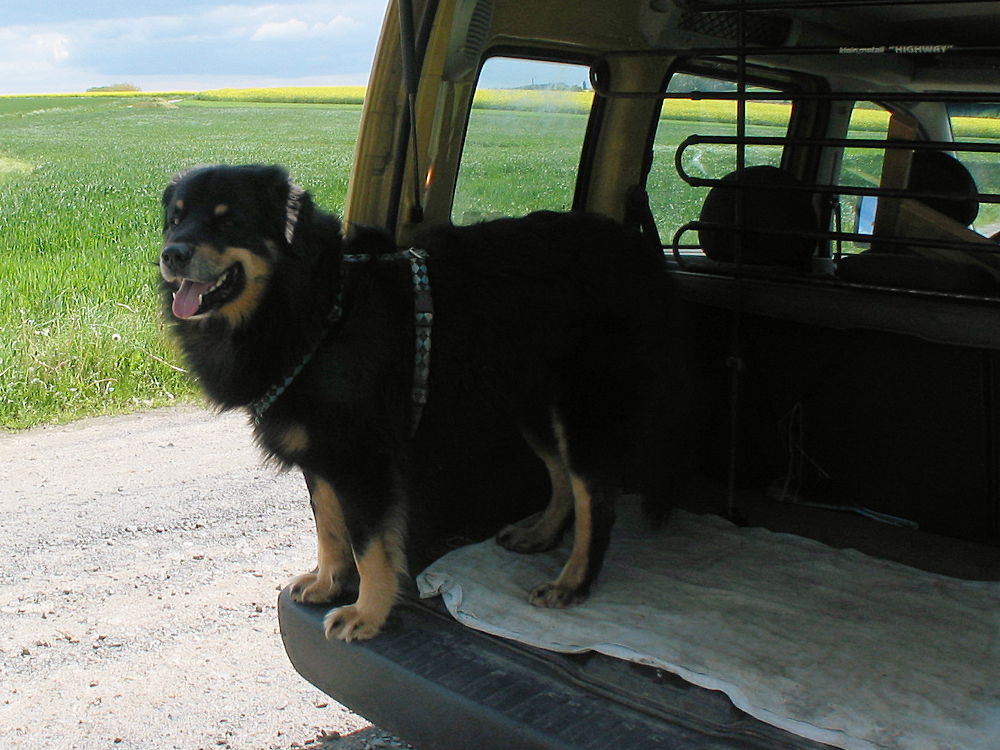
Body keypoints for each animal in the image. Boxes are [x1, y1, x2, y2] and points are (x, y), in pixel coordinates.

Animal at [160, 163, 684, 640]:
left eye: (228, 221)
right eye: (175, 218)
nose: (171, 254)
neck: (316, 305)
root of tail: (641, 255)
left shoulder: (362, 462)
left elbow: (369, 547)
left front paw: (367, 614)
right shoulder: (322, 453)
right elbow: (328, 525)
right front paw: (329, 582)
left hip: (583, 411)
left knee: (596, 499)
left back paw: (573, 582)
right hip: (531, 403)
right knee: (561, 477)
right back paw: (539, 534)